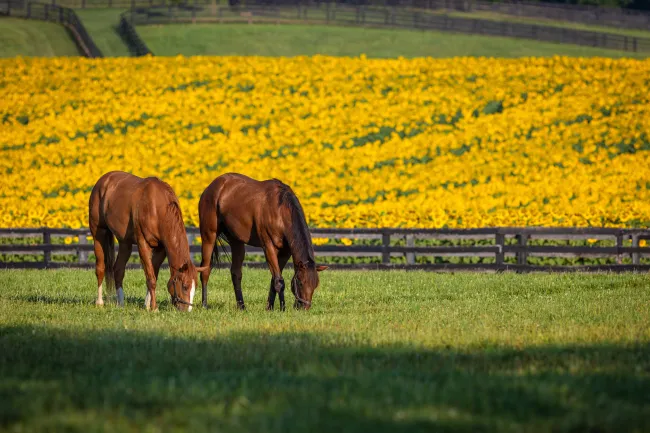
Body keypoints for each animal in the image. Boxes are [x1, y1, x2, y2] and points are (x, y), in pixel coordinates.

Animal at [88, 170, 205, 308]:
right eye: (185, 286)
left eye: (195, 286)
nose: (187, 309)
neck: (156, 208)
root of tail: (103, 180)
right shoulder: (143, 244)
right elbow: (151, 278)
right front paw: (154, 307)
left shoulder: (161, 248)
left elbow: (153, 274)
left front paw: (147, 305)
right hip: (99, 234)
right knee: (100, 268)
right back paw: (100, 302)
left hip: (125, 243)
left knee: (118, 270)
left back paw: (121, 303)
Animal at [196, 172, 330, 310]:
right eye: (300, 282)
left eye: (315, 284)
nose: (304, 308)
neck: (280, 211)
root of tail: (213, 186)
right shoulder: (268, 247)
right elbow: (279, 281)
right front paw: (282, 308)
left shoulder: (285, 252)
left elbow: (275, 279)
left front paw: (270, 307)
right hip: (208, 236)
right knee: (205, 269)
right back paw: (204, 304)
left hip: (236, 241)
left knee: (236, 273)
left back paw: (242, 306)